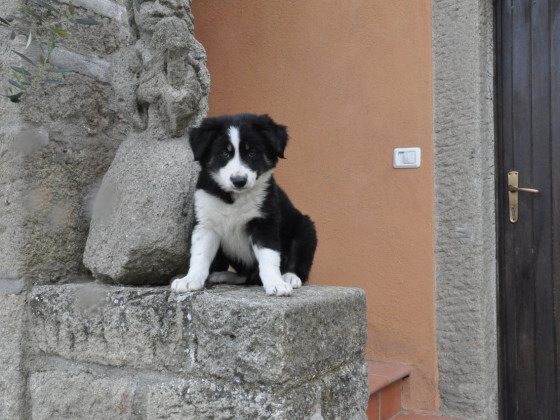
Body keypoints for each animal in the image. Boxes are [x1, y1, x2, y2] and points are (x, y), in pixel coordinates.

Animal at [171, 112, 318, 296]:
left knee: (297, 261)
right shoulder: (206, 224)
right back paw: (223, 275)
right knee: (246, 276)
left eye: (252, 152)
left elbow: (269, 256)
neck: (233, 198)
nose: (239, 181)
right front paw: (189, 280)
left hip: (305, 228)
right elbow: (200, 255)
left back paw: (289, 277)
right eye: (224, 153)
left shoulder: (265, 223)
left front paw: (276, 283)